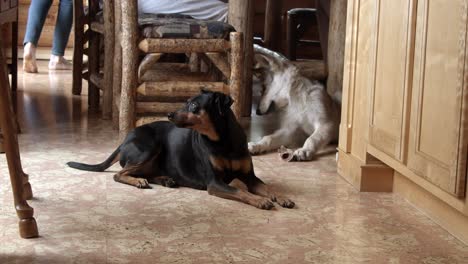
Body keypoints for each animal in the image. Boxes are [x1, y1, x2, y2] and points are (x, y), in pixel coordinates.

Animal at [66, 89, 292, 209]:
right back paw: (139, 181)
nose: (169, 114)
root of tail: (124, 140)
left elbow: (266, 187)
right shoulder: (214, 183)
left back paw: (164, 179)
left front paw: (281, 197)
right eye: (186, 102)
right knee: (119, 174)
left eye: (193, 106)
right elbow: (240, 190)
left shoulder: (250, 177)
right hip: (149, 147)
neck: (222, 140)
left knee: (143, 171)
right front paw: (260, 201)